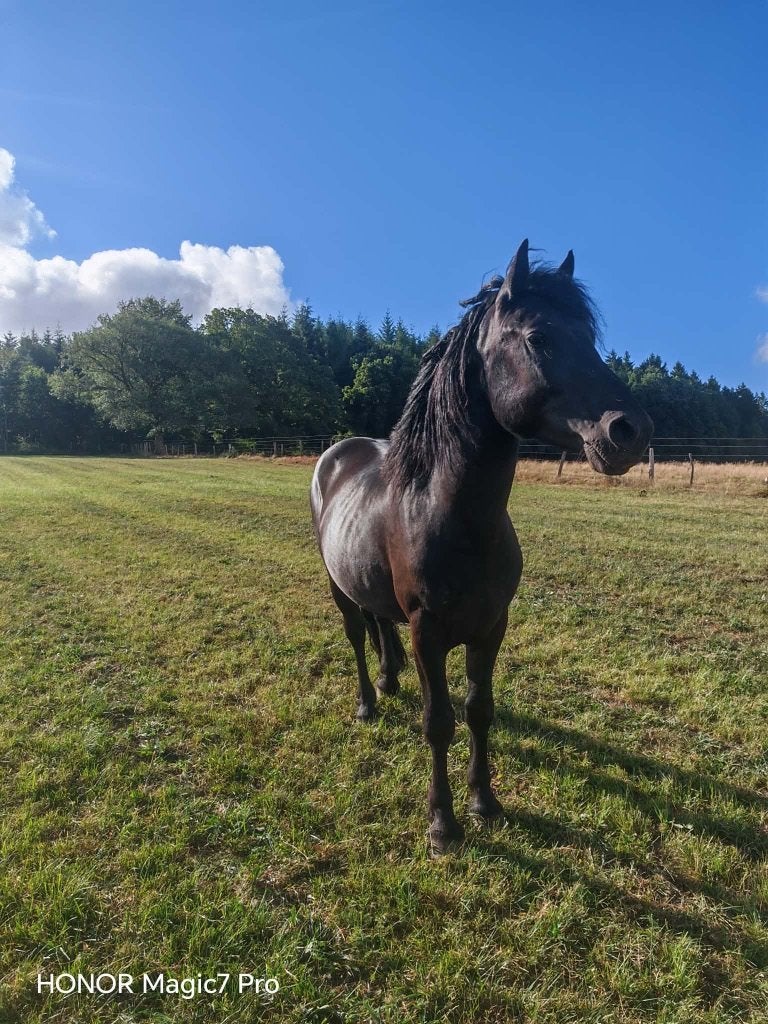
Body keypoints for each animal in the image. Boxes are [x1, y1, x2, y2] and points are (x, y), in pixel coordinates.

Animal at [310, 240, 653, 853]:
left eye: (589, 339)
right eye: (539, 338)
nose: (630, 431)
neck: (454, 517)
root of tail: (336, 454)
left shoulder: (492, 626)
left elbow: (478, 710)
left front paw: (484, 801)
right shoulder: (427, 632)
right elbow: (438, 722)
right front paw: (442, 825)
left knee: (379, 630)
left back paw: (388, 683)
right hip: (338, 589)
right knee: (355, 638)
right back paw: (368, 703)